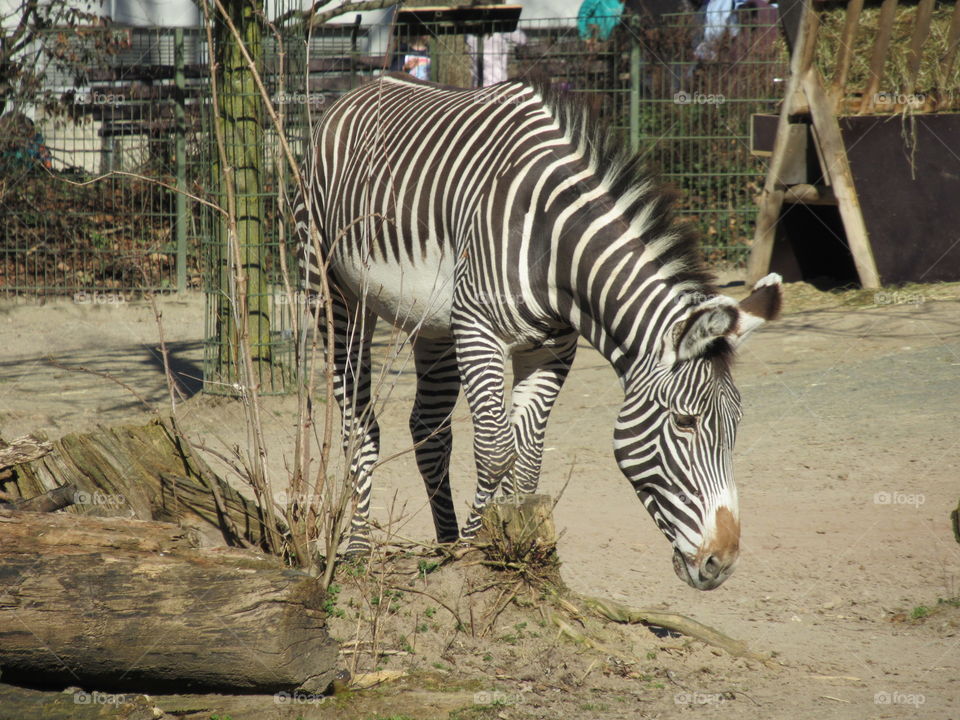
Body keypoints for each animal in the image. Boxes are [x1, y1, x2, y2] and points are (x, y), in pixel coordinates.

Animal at [294, 73, 782, 590]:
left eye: (736, 423)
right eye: (685, 422)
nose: (721, 562)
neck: (556, 247)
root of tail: (361, 87)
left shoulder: (551, 349)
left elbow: (527, 461)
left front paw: (518, 548)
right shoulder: (479, 330)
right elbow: (495, 450)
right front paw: (475, 551)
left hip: (432, 322)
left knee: (428, 429)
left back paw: (442, 546)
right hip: (333, 291)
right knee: (357, 421)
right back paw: (357, 550)